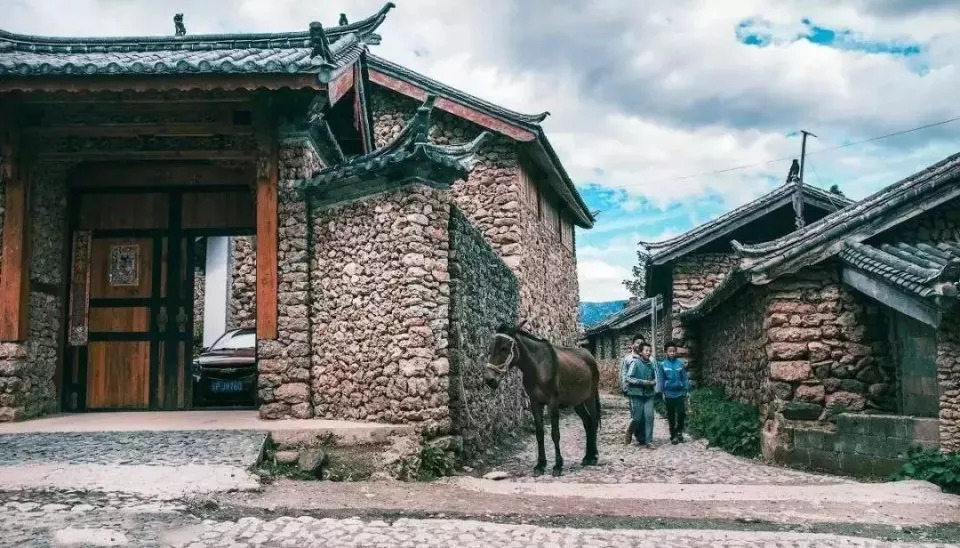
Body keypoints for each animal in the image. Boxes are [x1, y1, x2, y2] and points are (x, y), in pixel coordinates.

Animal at [488, 324, 600, 478]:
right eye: (491, 347)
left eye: (504, 348)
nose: (490, 380)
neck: (538, 367)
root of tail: (590, 357)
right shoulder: (535, 402)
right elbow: (540, 434)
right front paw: (540, 465)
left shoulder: (553, 403)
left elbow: (555, 434)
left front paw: (558, 466)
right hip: (577, 402)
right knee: (587, 422)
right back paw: (586, 457)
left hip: (589, 398)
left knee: (593, 422)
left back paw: (593, 456)